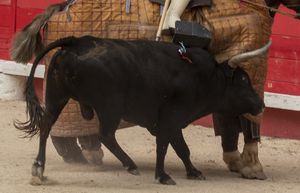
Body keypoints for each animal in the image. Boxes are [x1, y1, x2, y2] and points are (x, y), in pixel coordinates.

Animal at [15, 35, 268, 185]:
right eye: (243, 80)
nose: (261, 105)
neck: (206, 77)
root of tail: (77, 41)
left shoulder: (171, 123)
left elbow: (181, 149)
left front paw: (193, 172)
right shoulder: (170, 118)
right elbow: (166, 147)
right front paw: (163, 176)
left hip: (57, 97)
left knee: (46, 126)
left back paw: (38, 168)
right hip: (110, 107)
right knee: (106, 135)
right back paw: (131, 165)